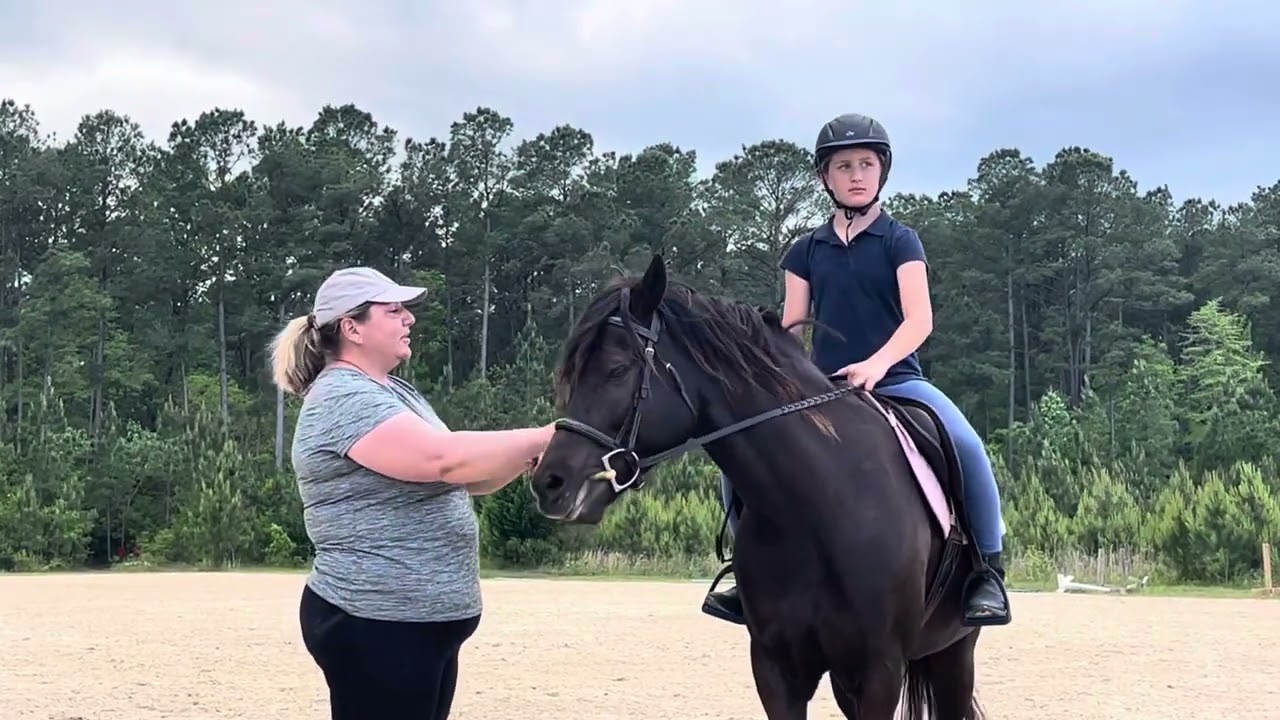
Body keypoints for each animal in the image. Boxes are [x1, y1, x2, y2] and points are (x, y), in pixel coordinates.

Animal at [528, 254, 991, 719]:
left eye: (618, 369)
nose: (550, 483)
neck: (815, 508)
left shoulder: (880, 671)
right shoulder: (776, 669)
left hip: (954, 653)